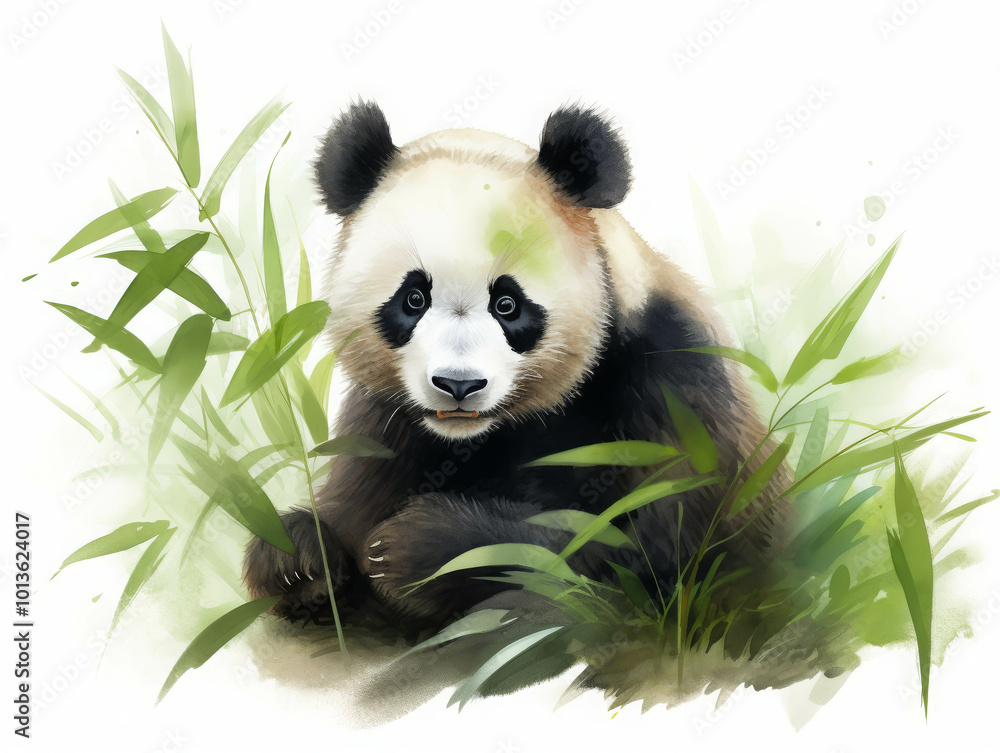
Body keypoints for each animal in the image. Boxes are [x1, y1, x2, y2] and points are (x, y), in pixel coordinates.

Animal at [242, 101, 791, 628]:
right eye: (414, 298)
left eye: (507, 304)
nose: (458, 385)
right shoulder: (386, 417)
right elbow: (352, 503)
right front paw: (298, 560)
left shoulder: (669, 379)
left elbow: (657, 550)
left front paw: (418, 552)